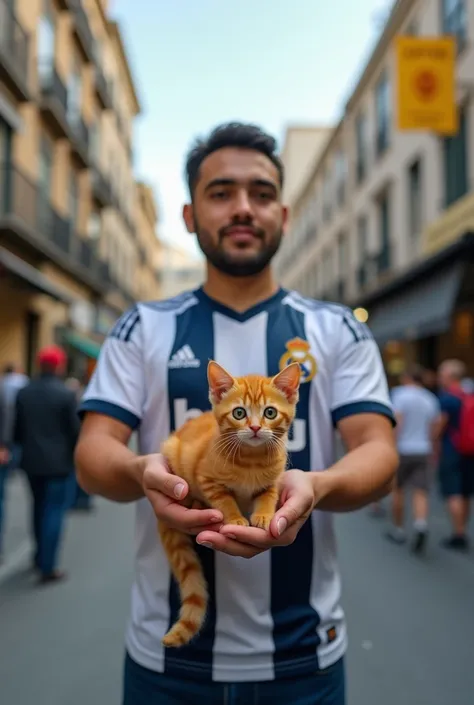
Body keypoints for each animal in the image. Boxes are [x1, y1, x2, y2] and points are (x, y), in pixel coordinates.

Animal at [159, 360, 300, 648]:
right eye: (239, 413)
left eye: (270, 412)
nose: (255, 428)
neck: (252, 460)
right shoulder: (207, 479)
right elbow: (225, 500)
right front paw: (235, 518)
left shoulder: (273, 481)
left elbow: (268, 496)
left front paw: (264, 516)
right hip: (172, 453)